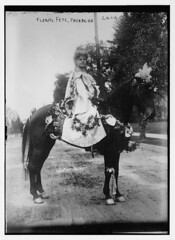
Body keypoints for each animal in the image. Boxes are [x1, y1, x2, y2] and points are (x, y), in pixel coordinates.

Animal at [21, 74, 154, 204]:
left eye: (151, 91)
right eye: (141, 90)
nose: (152, 114)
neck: (113, 117)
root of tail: (33, 114)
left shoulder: (116, 151)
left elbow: (116, 171)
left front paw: (118, 195)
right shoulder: (109, 151)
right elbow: (108, 171)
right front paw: (108, 196)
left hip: (46, 146)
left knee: (38, 167)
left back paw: (41, 192)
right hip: (40, 147)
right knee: (33, 166)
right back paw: (35, 195)